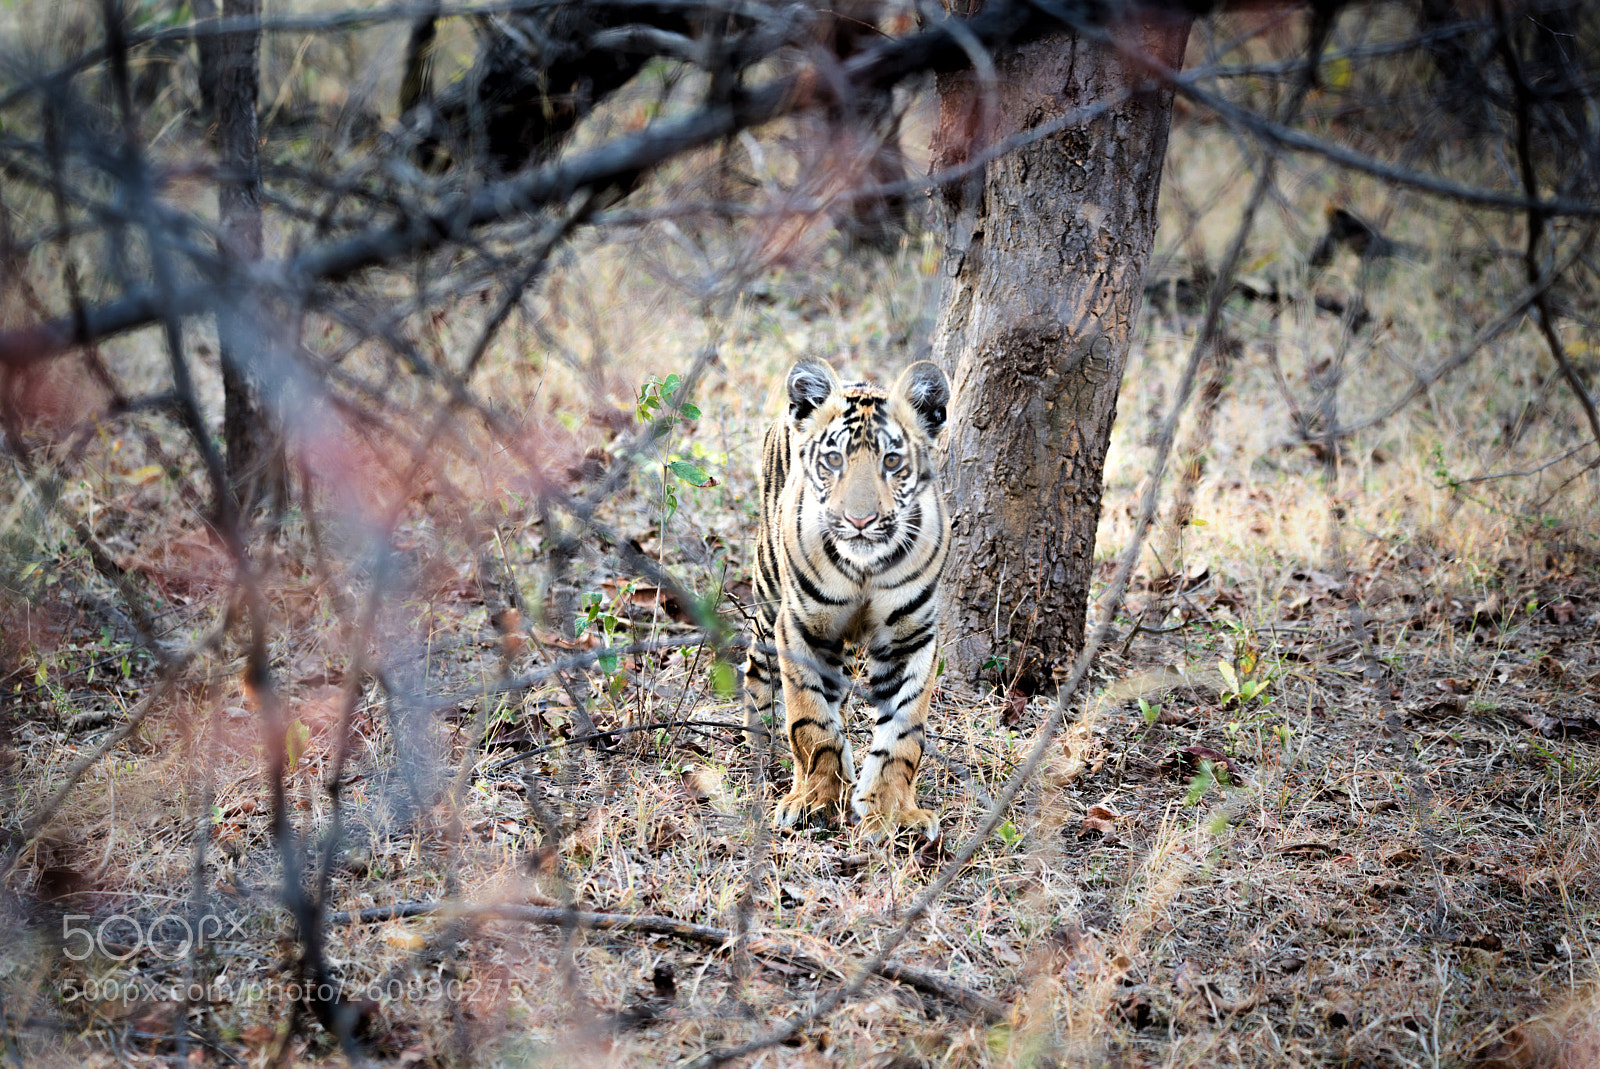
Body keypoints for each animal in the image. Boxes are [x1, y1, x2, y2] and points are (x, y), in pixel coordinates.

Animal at [743, 357, 951, 840]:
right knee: (758, 674)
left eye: (892, 461)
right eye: (834, 460)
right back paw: (758, 744)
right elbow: (810, 721)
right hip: (766, 599)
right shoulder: (801, 628)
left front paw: (891, 812)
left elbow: (902, 734)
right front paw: (815, 801)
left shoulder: (910, 638)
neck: (864, 568)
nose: (860, 520)